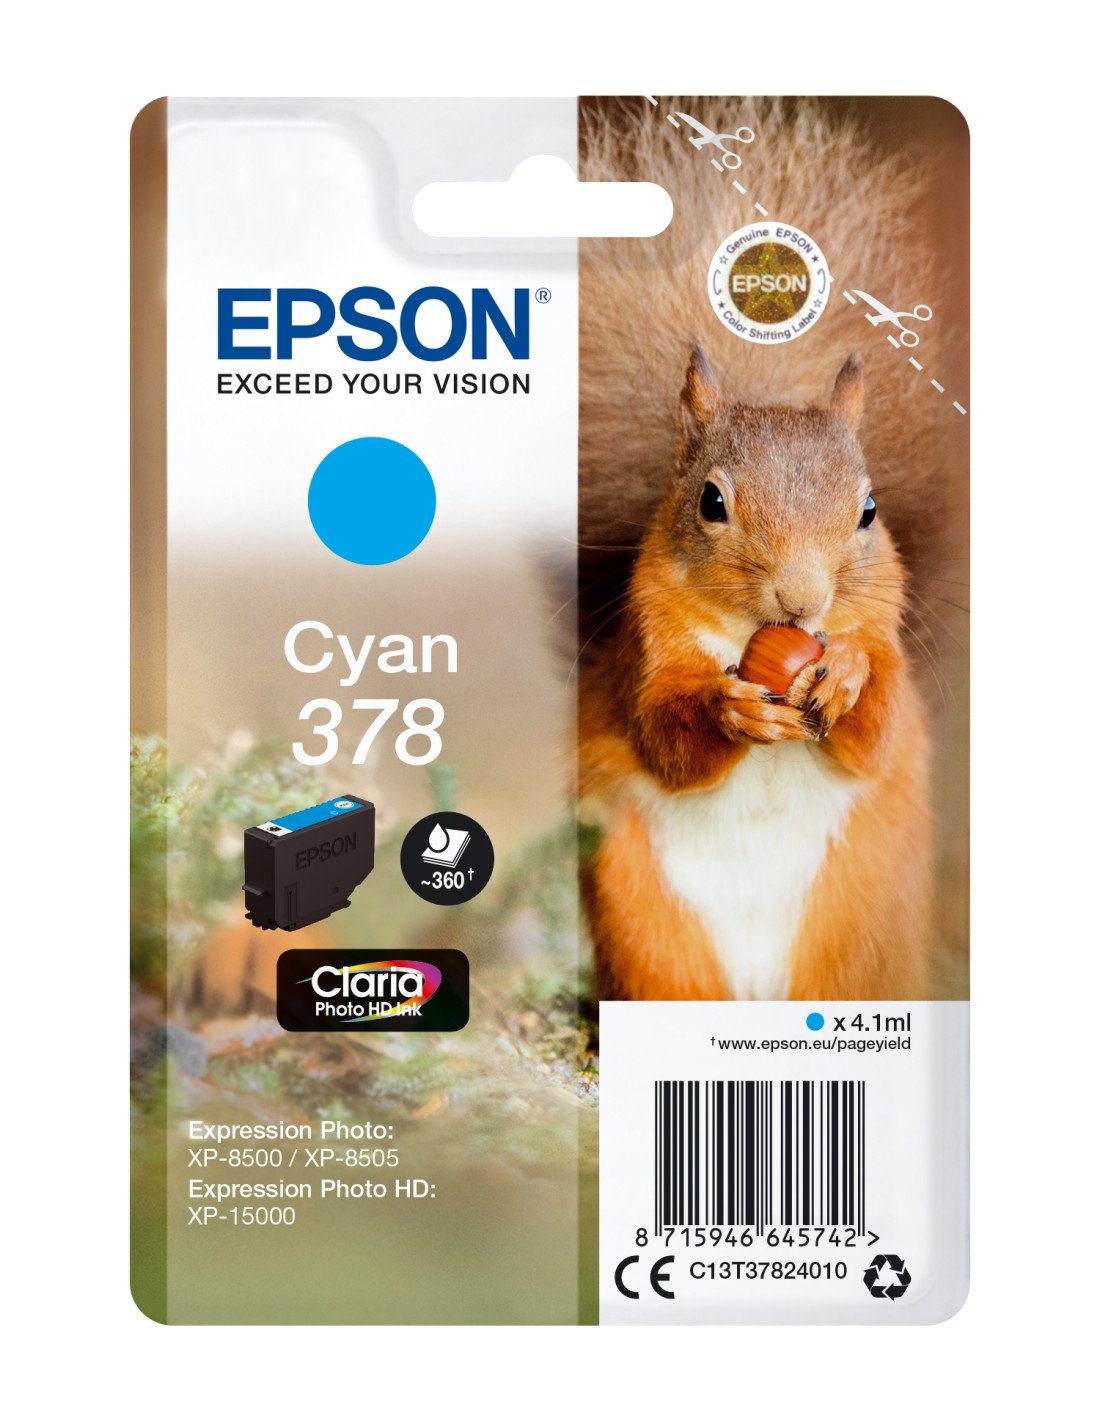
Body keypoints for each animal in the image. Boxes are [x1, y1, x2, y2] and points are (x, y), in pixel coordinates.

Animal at [575, 97, 968, 1001]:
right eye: (711, 502)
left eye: (869, 510)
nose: (802, 600)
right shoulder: (647, 650)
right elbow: (665, 735)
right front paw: (732, 709)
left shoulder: (887, 641)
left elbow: (877, 729)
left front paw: (848, 676)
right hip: (645, 923)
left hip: (860, 928)